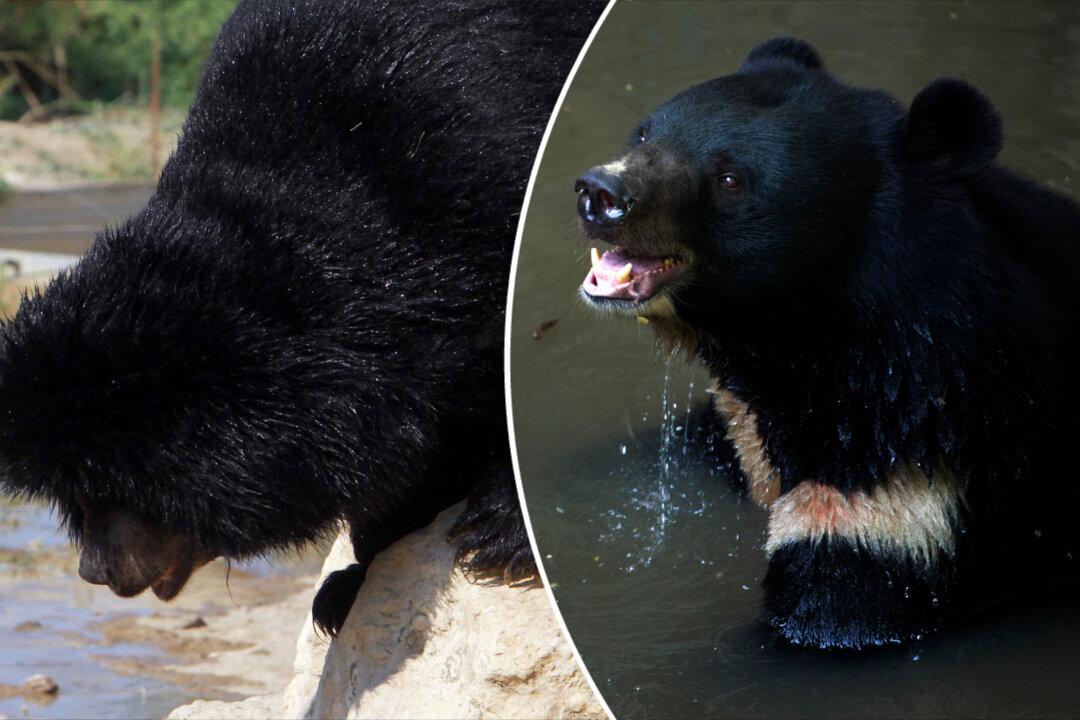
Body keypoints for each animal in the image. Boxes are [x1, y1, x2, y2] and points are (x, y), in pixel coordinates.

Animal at [575, 37, 1080, 649]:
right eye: (646, 134)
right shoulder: (747, 416)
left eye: (730, 179)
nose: (600, 194)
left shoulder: (911, 483)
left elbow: (835, 611)